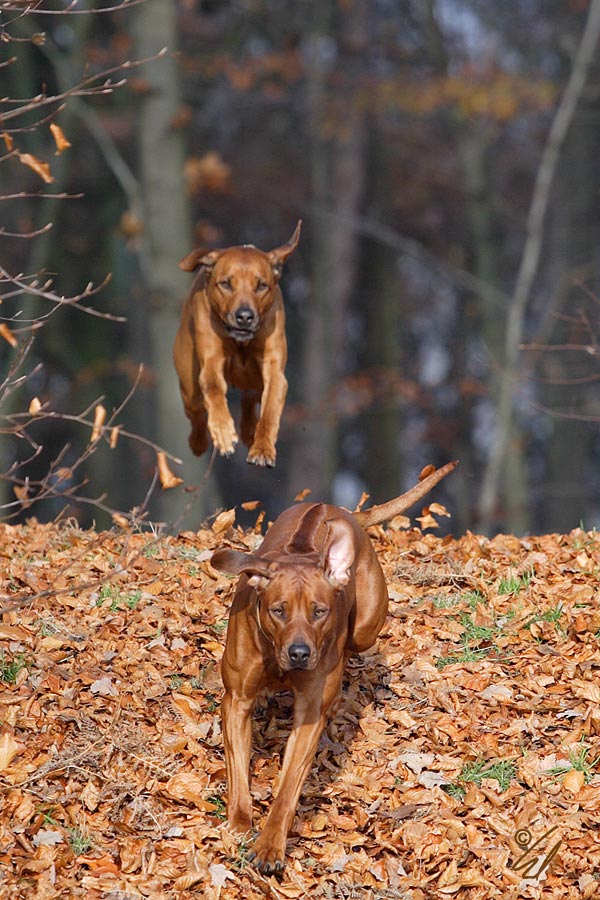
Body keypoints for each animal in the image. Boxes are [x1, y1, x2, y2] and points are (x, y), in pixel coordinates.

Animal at [175, 221, 302, 468]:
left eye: (261, 285)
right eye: (225, 283)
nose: (244, 316)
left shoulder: (274, 369)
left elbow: (270, 408)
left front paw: (262, 448)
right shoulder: (211, 360)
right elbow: (212, 386)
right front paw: (223, 433)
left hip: (252, 380)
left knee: (250, 397)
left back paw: (249, 431)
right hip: (188, 386)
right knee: (197, 414)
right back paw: (199, 443)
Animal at [212, 458, 460, 872]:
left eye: (319, 611)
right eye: (278, 611)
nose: (299, 653)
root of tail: (338, 509)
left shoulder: (309, 714)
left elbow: (288, 787)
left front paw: (270, 846)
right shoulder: (236, 701)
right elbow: (237, 771)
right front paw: (239, 822)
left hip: (365, 628)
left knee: (352, 646)